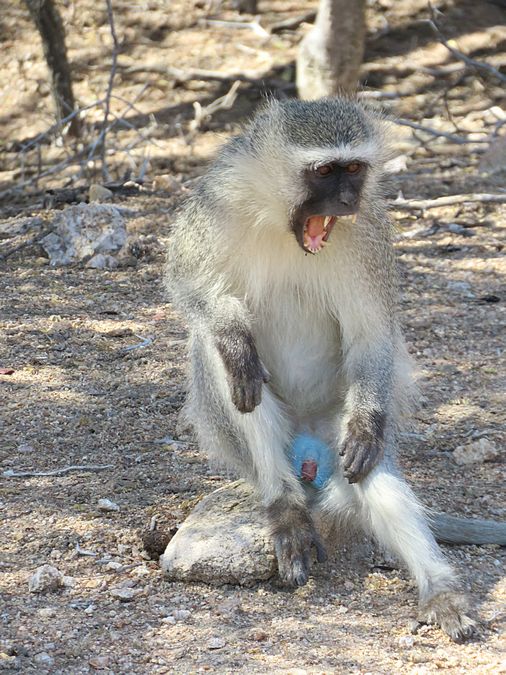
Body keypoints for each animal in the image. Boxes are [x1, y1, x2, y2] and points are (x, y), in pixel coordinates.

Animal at [165, 96, 506, 642]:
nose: (346, 200)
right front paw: (234, 338)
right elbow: (188, 283)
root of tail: (309, 458)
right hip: (251, 449)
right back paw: (285, 508)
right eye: (324, 171)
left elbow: (372, 335)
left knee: (367, 467)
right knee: (225, 366)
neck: (281, 224)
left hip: (336, 434)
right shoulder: (216, 203)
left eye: (355, 169)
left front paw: (366, 426)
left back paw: (441, 592)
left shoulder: (368, 235)